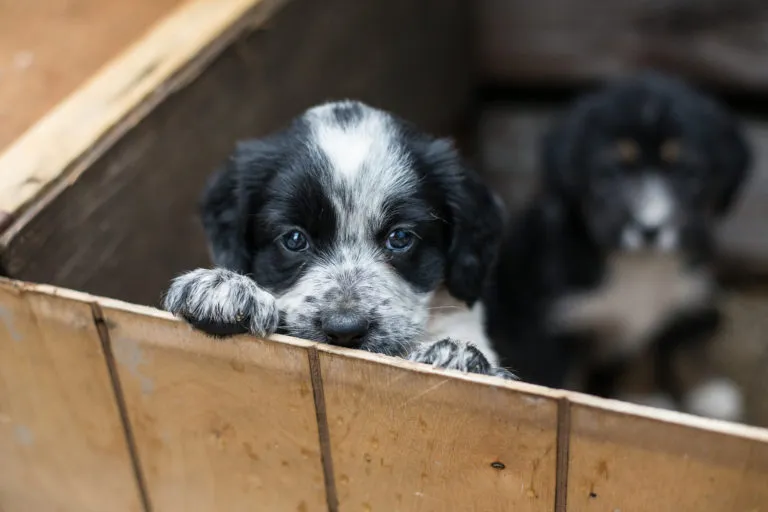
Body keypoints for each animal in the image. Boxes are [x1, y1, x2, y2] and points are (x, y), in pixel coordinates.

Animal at [486, 73, 752, 420]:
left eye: (687, 172)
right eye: (612, 171)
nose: (650, 228)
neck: (640, 264)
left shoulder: (683, 298)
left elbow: (661, 349)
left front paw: (667, 397)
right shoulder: (552, 326)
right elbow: (561, 380)